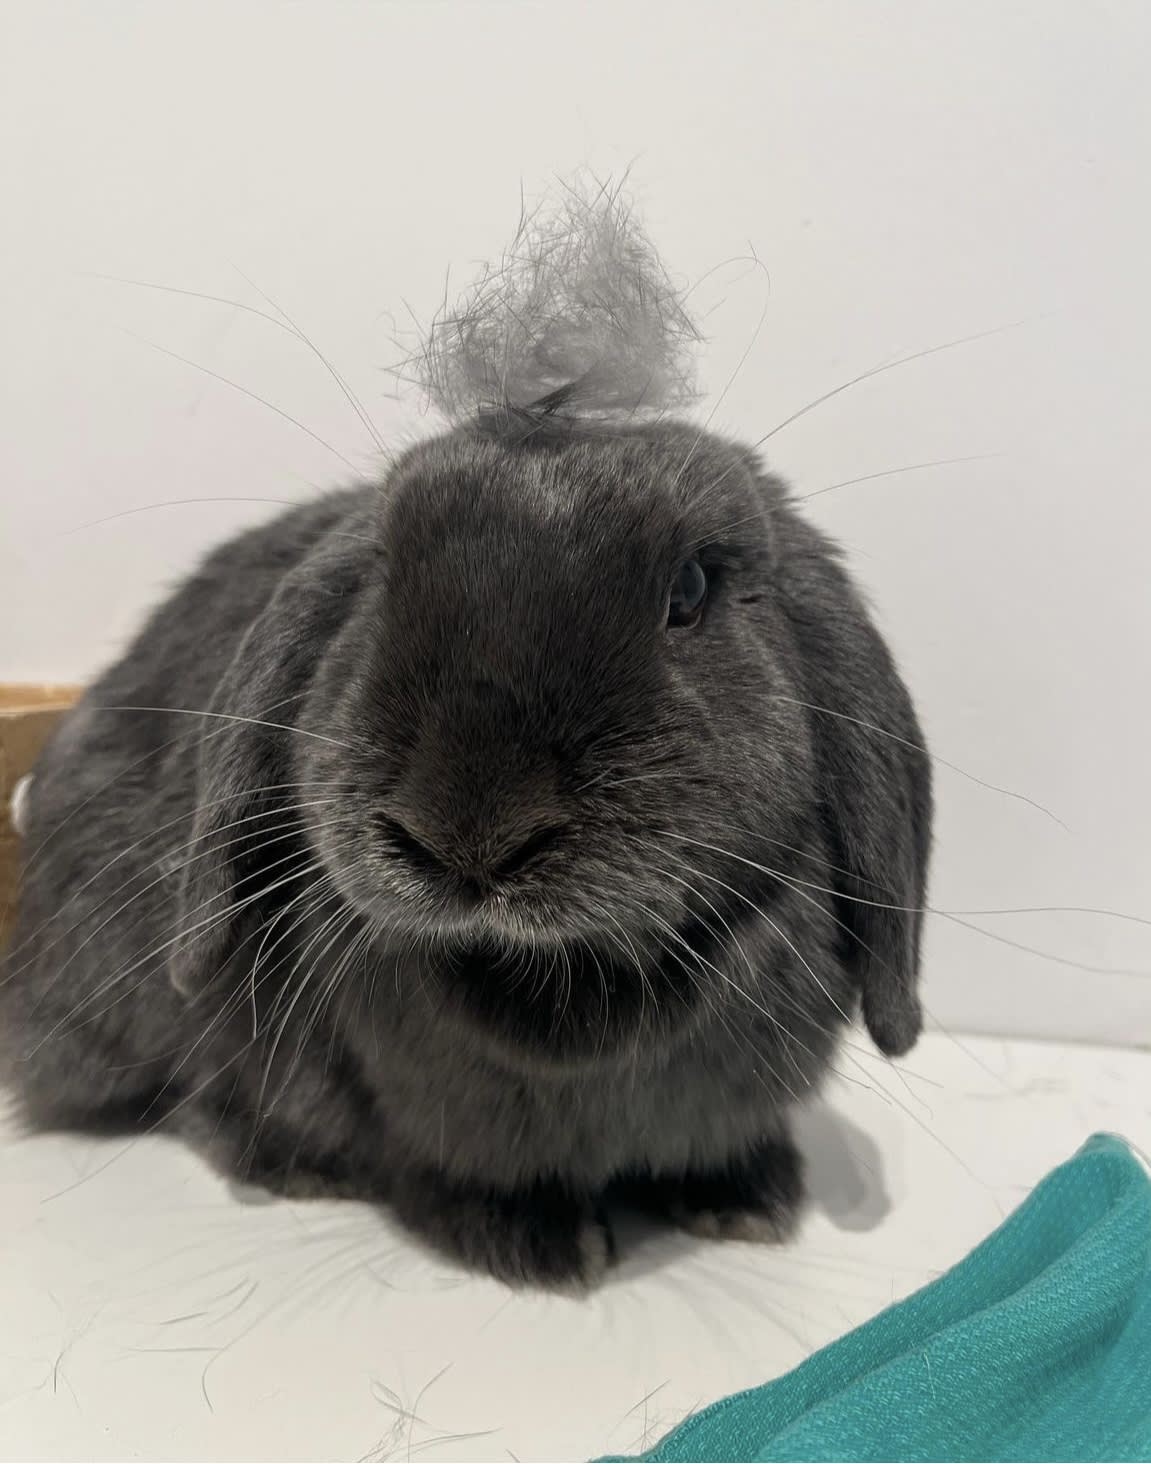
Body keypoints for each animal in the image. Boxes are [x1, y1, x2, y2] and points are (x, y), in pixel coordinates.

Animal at [1, 407, 932, 1288]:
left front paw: (742, 1201)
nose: (467, 831)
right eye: (379, 576)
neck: (564, 980)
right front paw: (540, 1246)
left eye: (693, 585)